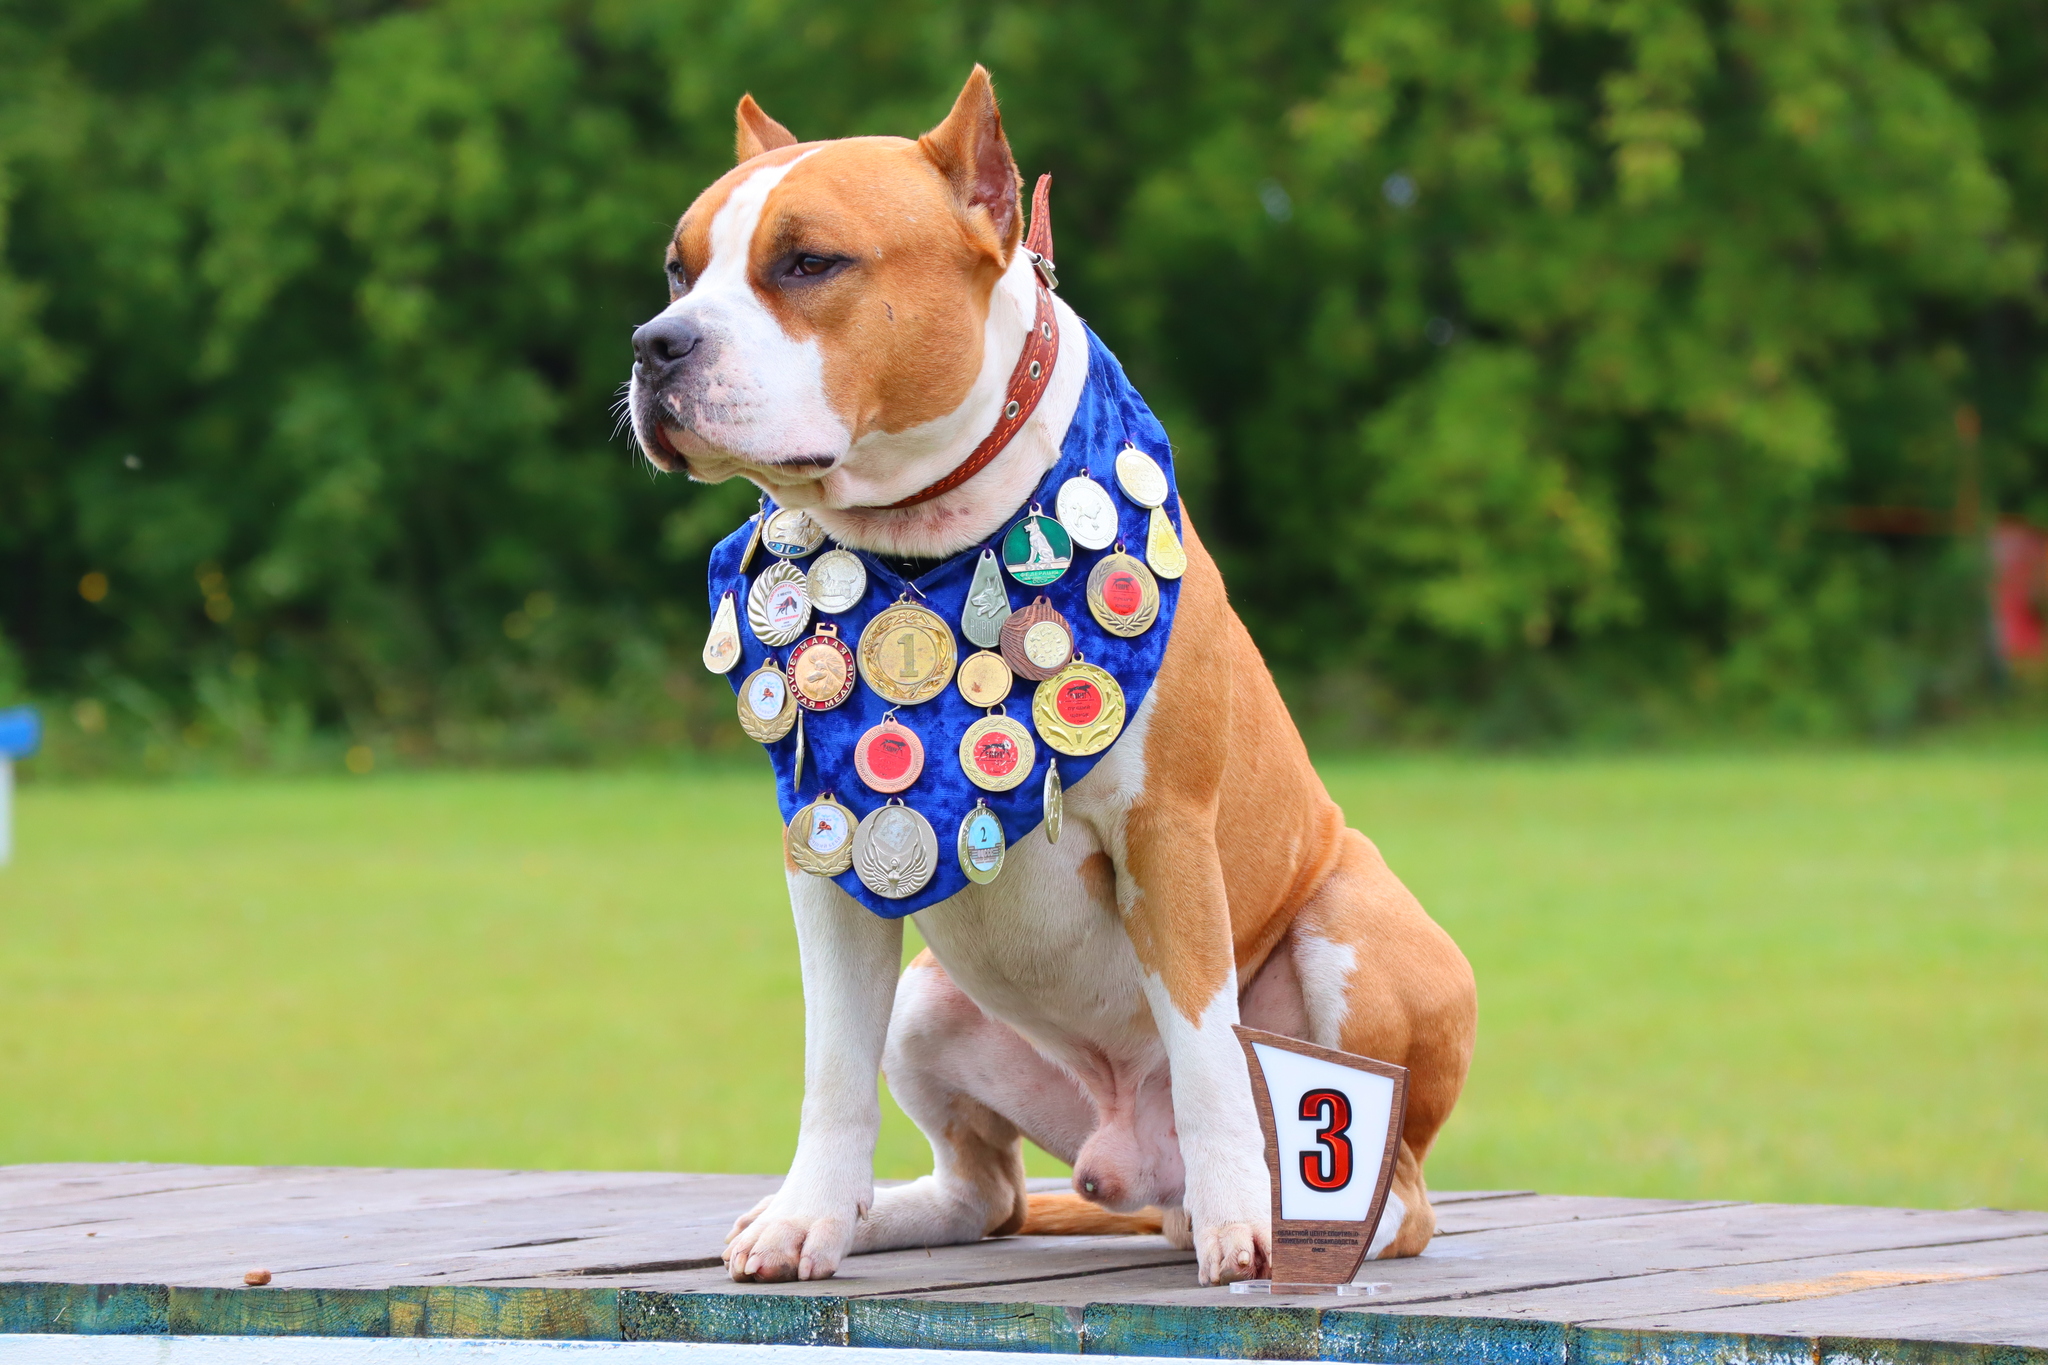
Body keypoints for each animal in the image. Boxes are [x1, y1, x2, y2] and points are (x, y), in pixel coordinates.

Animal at [622, 66, 1474, 1293]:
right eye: (678, 271)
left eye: (808, 262)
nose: (657, 344)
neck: (922, 545)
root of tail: (1132, 1164)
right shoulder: (824, 859)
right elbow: (830, 1069)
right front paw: (807, 1216)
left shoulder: (1167, 835)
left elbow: (1206, 1043)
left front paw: (1238, 1226)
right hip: (926, 1008)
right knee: (990, 1193)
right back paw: (889, 1212)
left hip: (1348, 930)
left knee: (1388, 1183)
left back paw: (1267, 1208)